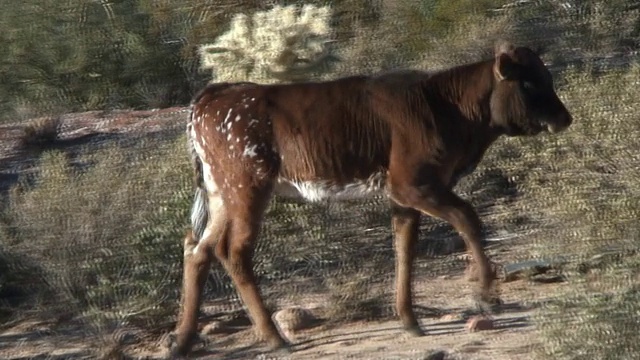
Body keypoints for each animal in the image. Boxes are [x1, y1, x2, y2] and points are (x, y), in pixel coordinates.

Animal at [171, 40, 576, 356]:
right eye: (528, 82)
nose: (565, 118)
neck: (445, 105)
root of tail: (213, 95)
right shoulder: (414, 185)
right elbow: (469, 220)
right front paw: (486, 296)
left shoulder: (406, 197)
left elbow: (404, 249)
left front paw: (409, 319)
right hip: (248, 188)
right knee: (233, 251)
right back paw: (274, 338)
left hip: (220, 193)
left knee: (197, 248)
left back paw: (182, 340)